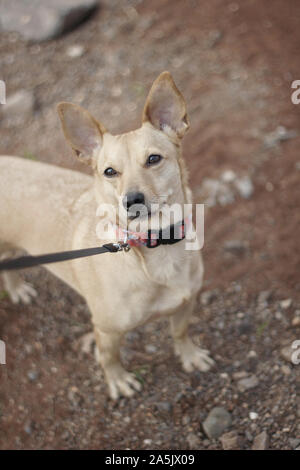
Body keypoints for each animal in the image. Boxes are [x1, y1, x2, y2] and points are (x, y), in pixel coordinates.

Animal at [1, 71, 214, 398]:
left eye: (154, 159)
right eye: (109, 172)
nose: (132, 200)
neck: (154, 248)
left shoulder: (186, 303)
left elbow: (180, 332)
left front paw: (189, 356)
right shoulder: (107, 330)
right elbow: (109, 357)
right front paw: (118, 380)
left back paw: (17, 288)